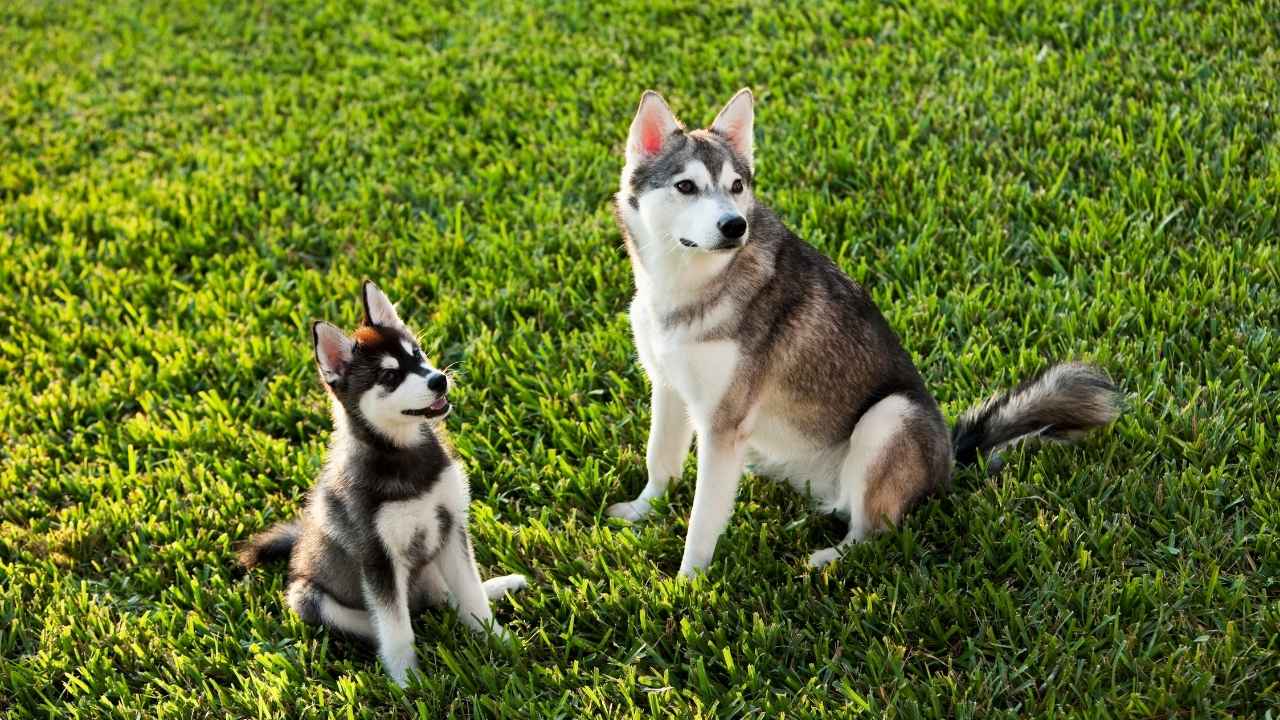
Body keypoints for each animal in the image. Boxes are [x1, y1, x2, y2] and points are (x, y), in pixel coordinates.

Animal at [241, 280, 527, 681]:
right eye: (390, 377)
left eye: (417, 354)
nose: (439, 379)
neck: (402, 454)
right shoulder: (377, 557)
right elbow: (396, 628)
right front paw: (408, 681)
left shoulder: (451, 526)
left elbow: (471, 595)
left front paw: (498, 640)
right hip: (307, 596)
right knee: (392, 620)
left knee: (445, 597)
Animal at [609, 89, 1121, 571]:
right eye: (686, 186)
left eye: (736, 186)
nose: (735, 226)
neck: (688, 286)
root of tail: (949, 463)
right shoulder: (669, 388)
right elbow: (661, 459)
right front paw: (643, 510)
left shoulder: (723, 424)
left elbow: (703, 517)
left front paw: (689, 582)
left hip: (889, 417)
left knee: (874, 528)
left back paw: (829, 557)